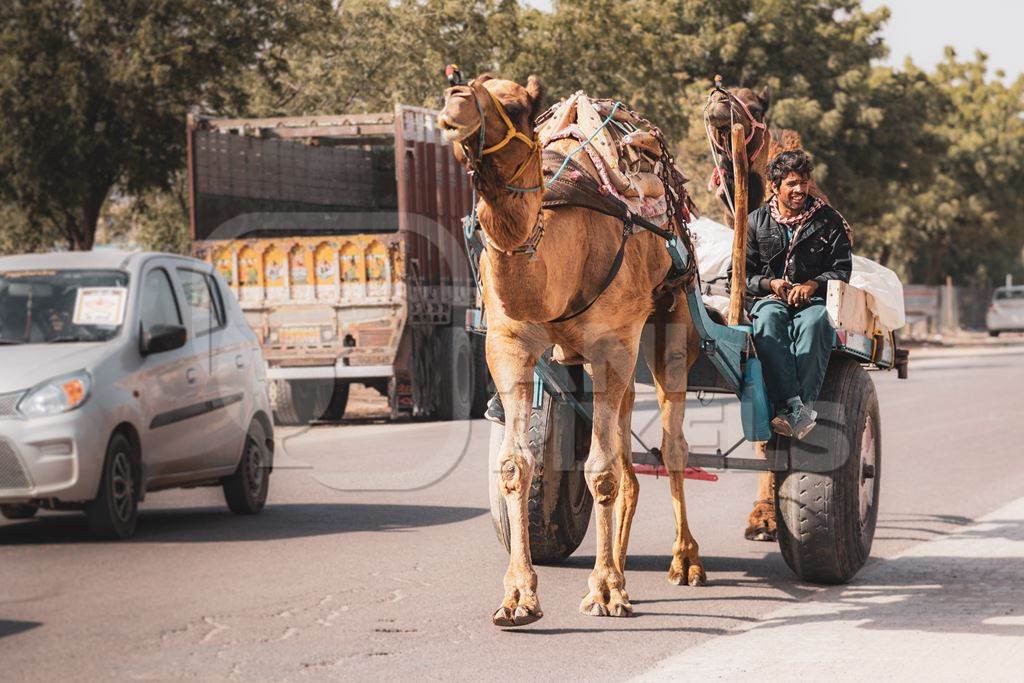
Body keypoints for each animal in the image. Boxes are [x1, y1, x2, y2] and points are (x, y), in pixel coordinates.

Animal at [436, 73, 708, 626]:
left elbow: (599, 469)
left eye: (518, 106)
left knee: (672, 444)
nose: (453, 107)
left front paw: (604, 592)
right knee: (628, 452)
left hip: (669, 321)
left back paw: (684, 561)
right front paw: (518, 597)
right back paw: (622, 561)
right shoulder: (509, 345)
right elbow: (517, 465)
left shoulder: (612, 343)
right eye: (459, 81)